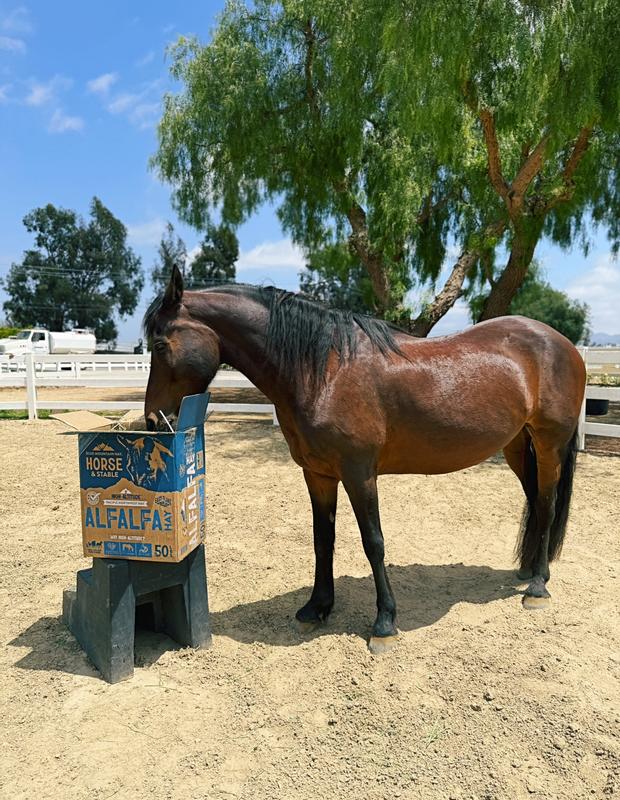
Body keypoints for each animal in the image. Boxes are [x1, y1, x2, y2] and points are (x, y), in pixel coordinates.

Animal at [144, 266, 586, 653]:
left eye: (160, 345)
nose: (151, 421)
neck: (324, 371)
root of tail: (562, 343)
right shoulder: (318, 474)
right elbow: (323, 539)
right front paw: (316, 608)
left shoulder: (359, 474)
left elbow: (374, 542)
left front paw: (385, 623)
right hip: (517, 446)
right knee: (535, 501)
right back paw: (529, 570)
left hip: (549, 444)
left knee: (547, 505)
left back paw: (537, 587)